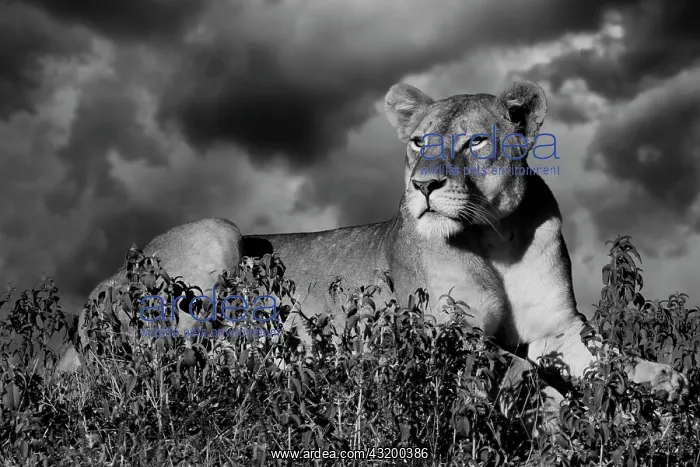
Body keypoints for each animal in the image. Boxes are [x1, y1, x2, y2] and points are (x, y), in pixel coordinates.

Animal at [56, 80, 688, 434]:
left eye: (475, 142)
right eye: (417, 141)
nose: (424, 185)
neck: (494, 239)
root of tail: (91, 297)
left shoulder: (557, 328)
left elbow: (611, 359)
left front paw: (661, 385)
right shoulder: (440, 330)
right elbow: (523, 372)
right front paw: (581, 413)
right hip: (217, 232)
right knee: (160, 365)